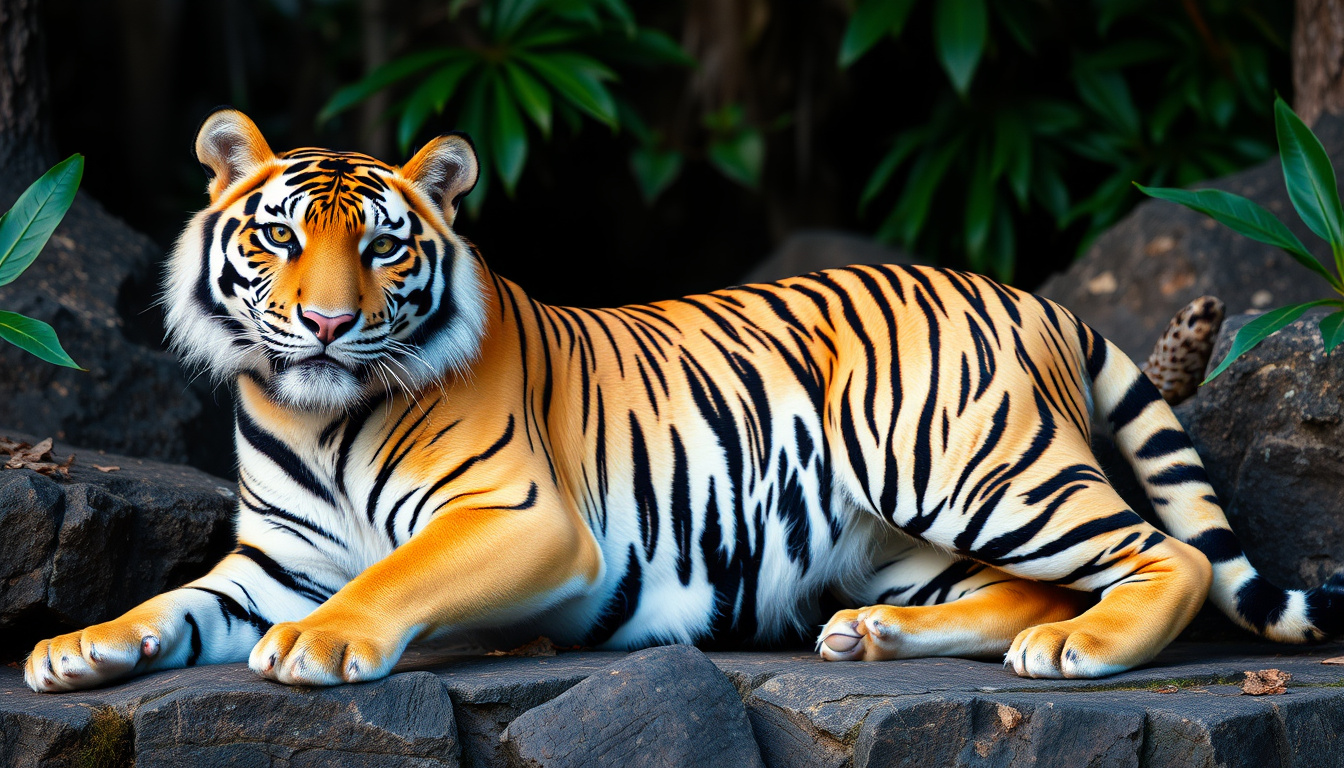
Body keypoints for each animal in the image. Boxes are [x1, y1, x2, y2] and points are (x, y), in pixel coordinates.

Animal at [25, 108, 1344, 693]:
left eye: (386, 249)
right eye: (282, 237)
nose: (330, 324)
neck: (318, 410)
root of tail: (1026, 296)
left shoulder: (523, 520)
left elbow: (389, 576)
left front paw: (318, 642)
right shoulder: (274, 559)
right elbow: (177, 603)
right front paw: (77, 648)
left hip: (963, 462)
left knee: (1165, 556)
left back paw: (1079, 651)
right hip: (899, 531)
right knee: (1029, 584)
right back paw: (882, 636)